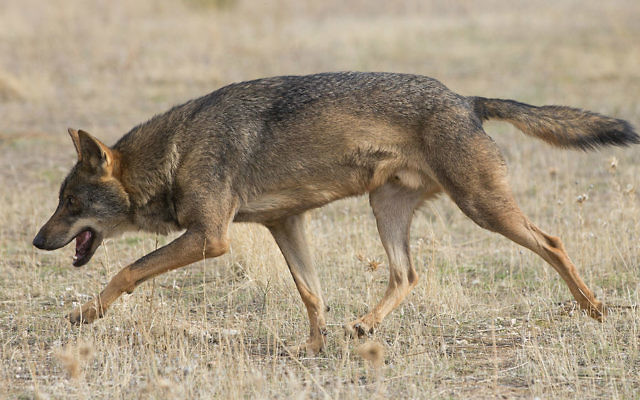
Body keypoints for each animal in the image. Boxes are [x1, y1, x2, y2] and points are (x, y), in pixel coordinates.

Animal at [33, 72, 638, 354]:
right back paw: (366, 324)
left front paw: (84, 314)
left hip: (484, 208)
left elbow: (126, 270)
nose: (36, 242)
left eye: (70, 203)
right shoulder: (285, 222)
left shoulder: (210, 238)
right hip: (386, 207)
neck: (176, 152)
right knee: (407, 273)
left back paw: (594, 308)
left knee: (553, 243)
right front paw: (312, 348)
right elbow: (311, 294)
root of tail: (468, 100)